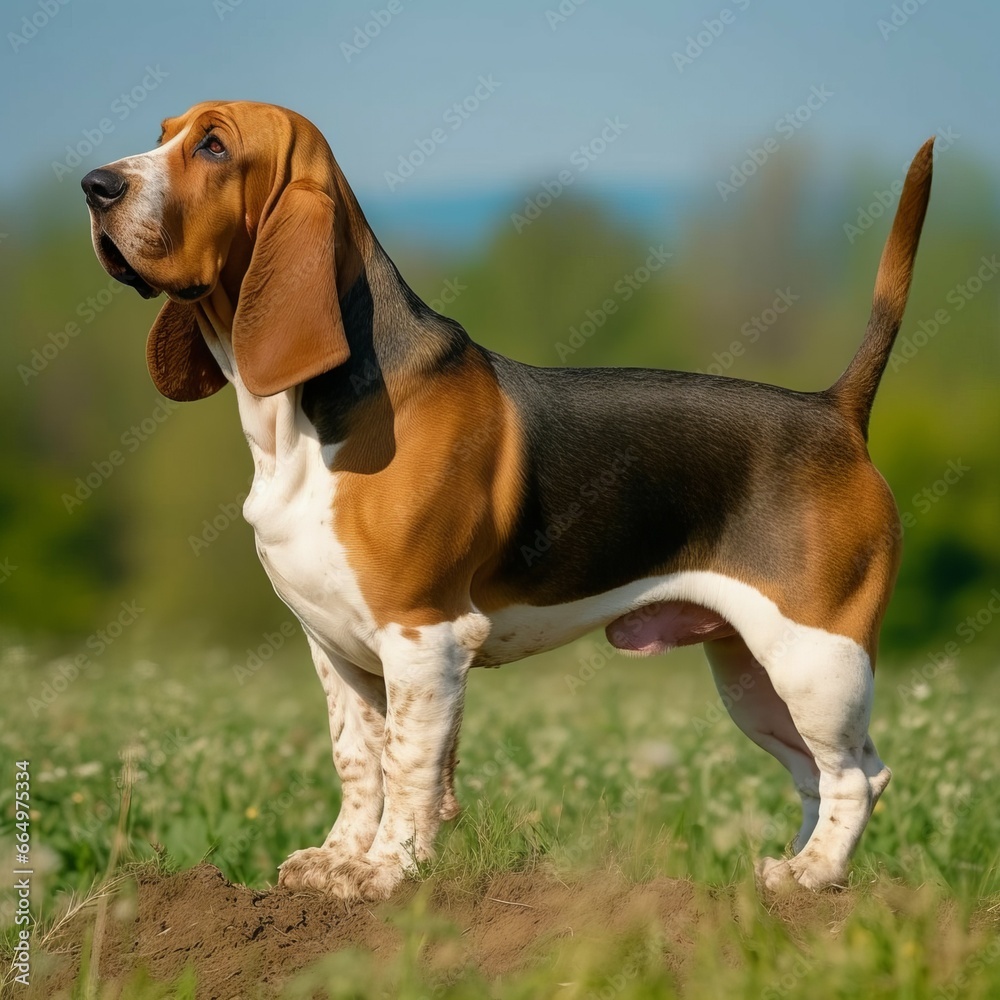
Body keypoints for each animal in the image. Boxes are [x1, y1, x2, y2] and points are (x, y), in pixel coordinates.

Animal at [82, 101, 932, 900]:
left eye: (213, 146)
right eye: (161, 134)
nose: (94, 186)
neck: (299, 427)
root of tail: (835, 410)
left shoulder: (423, 636)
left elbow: (409, 768)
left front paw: (384, 872)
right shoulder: (336, 648)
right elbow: (359, 760)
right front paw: (336, 859)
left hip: (818, 659)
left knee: (858, 774)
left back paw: (816, 875)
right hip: (754, 676)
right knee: (816, 775)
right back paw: (798, 872)